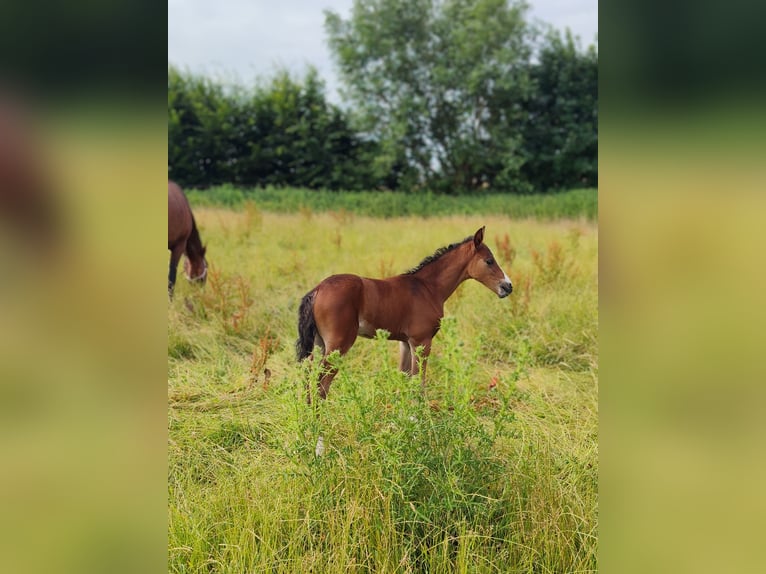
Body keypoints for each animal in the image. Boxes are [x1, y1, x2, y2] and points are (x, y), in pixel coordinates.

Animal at [296, 226, 512, 403]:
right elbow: (419, 382)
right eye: (489, 261)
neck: (428, 288)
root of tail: (317, 290)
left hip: (319, 344)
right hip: (338, 344)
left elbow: (405, 379)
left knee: (309, 377)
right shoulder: (422, 341)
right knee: (321, 384)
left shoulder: (406, 343)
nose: (507, 287)